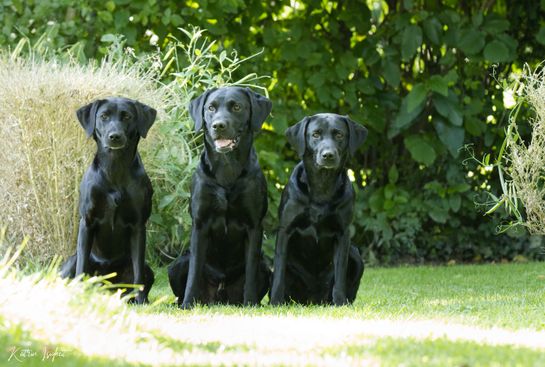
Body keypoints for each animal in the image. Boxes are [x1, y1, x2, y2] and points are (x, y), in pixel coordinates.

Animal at [60, 95, 156, 304]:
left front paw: (141, 301)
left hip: (148, 269)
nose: (114, 136)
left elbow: (138, 273)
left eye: (127, 116)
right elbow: (81, 268)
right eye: (103, 116)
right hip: (70, 262)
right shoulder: (87, 222)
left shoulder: (138, 225)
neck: (115, 168)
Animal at [168, 86, 272, 308]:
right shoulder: (200, 224)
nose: (218, 125)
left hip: (265, 267)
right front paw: (188, 304)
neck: (227, 168)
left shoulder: (254, 226)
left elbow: (250, 271)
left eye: (237, 107)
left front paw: (250, 303)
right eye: (210, 108)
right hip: (177, 264)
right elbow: (194, 272)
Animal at [268, 113, 366, 306]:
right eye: (315, 134)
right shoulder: (285, 231)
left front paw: (339, 302)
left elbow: (340, 275)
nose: (328, 155)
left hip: (356, 254)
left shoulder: (343, 234)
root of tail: (312, 300)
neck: (322, 186)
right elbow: (279, 274)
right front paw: (275, 302)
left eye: (339, 135)